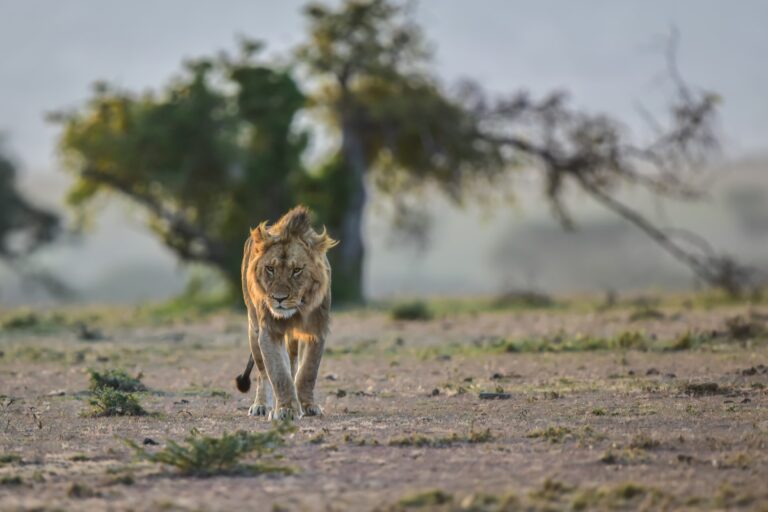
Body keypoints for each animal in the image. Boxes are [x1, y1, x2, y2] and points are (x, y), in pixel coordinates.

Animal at [232, 206, 338, 422]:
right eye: (270, 269)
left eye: (297, 270)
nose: (278, 299)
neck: (298, 309)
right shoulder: (269, 331)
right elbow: (278, 373)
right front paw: (286, 409)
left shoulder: (317, 330)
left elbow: (307, 372)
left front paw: (307, 406)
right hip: (253, 329)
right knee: (263, 373)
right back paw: (261, 405)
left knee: (292, 363)